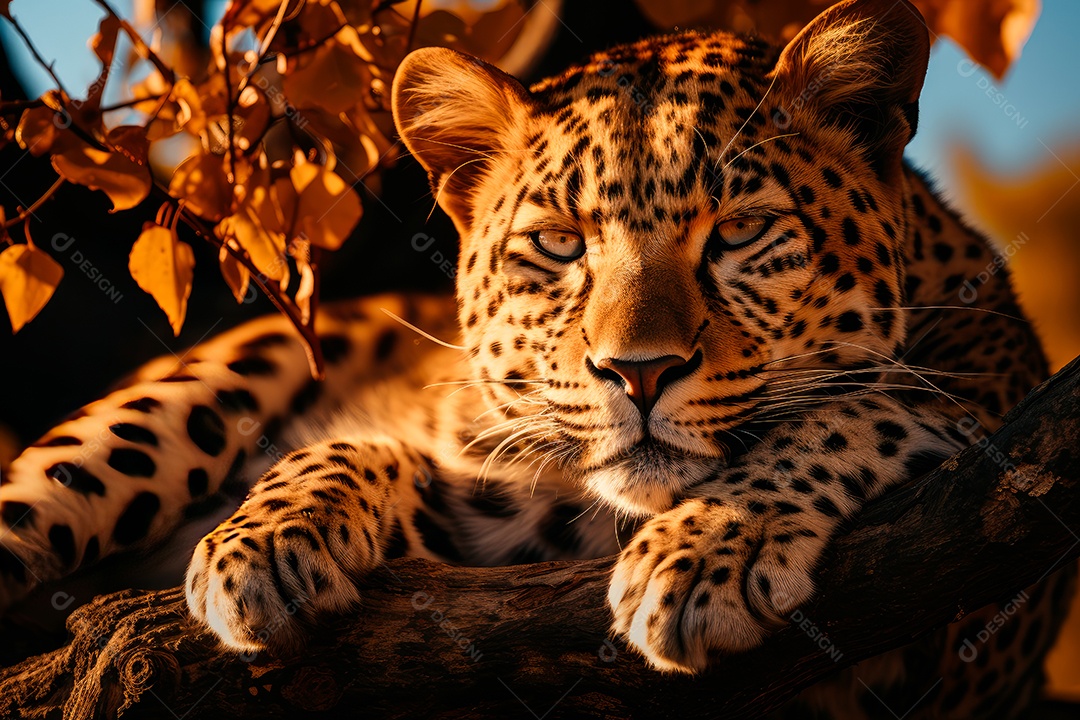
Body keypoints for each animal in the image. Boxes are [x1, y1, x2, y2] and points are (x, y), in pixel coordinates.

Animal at [0, 0, 1071, 716]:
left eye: (740, 231)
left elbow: (872, 408)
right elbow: (363, 450)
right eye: (559, 245)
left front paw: (705, 552)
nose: (639, 373)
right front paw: (262, 541)